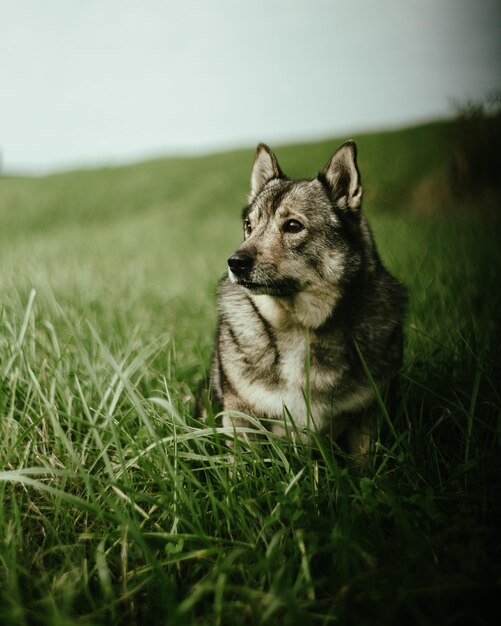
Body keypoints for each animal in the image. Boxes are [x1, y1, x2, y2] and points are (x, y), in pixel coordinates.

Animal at [197, 140, 404, 454]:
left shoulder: (367, 416)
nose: (235, 262)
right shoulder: (241, 418)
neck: (298, 326)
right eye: (249, 226)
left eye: (293, 226)